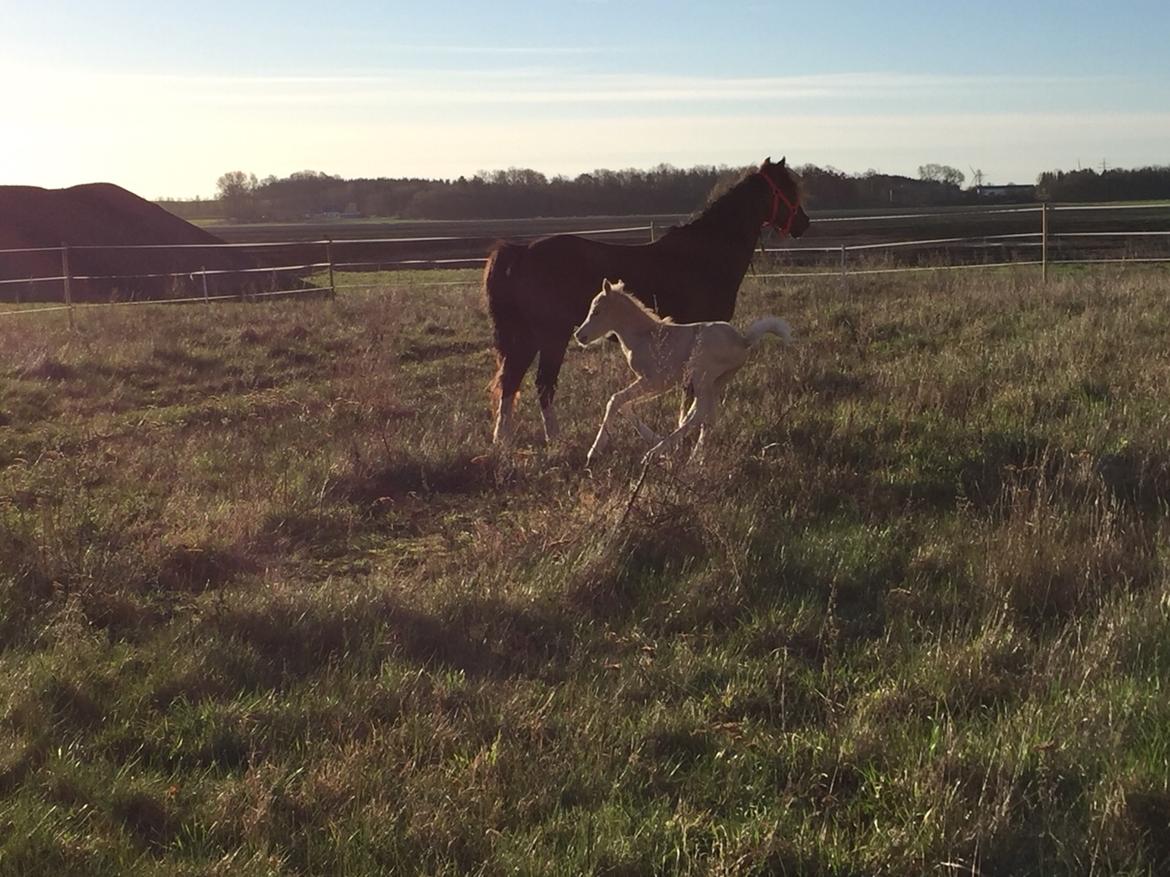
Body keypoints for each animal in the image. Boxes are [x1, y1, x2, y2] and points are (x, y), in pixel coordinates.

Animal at [484, 156, 809, 445]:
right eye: (788, 188)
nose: (803, 224)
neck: (704, 253)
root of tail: (520, 250)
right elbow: (689, 398)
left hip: (528, 337)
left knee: (512, 382)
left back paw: (505, 439)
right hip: (551, 337)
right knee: (539, 383)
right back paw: (551, 438)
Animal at [574, 278, 792, 467]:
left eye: (596, 311)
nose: (579, 336)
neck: (644, 337)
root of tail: (743, 340)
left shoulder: (655, 381)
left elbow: (615, 400)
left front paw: (593, 452)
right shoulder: (659, 385)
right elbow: (626, 406)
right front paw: (654, 437)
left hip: (701, 375)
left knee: (701, 413)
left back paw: (654, 454)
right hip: (716, 381)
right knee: (706, 417)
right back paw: (695, 458)